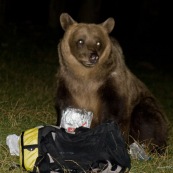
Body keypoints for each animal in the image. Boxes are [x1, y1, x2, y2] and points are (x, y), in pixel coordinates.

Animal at [55, 12, 169, 154]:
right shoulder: (67, 85)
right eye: (80, 41)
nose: (93, 56)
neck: (86, 77)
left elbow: (114, 113)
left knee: (146, 119)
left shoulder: (111, 84)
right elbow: (64, 109)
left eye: (98, 42)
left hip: (146, 106)